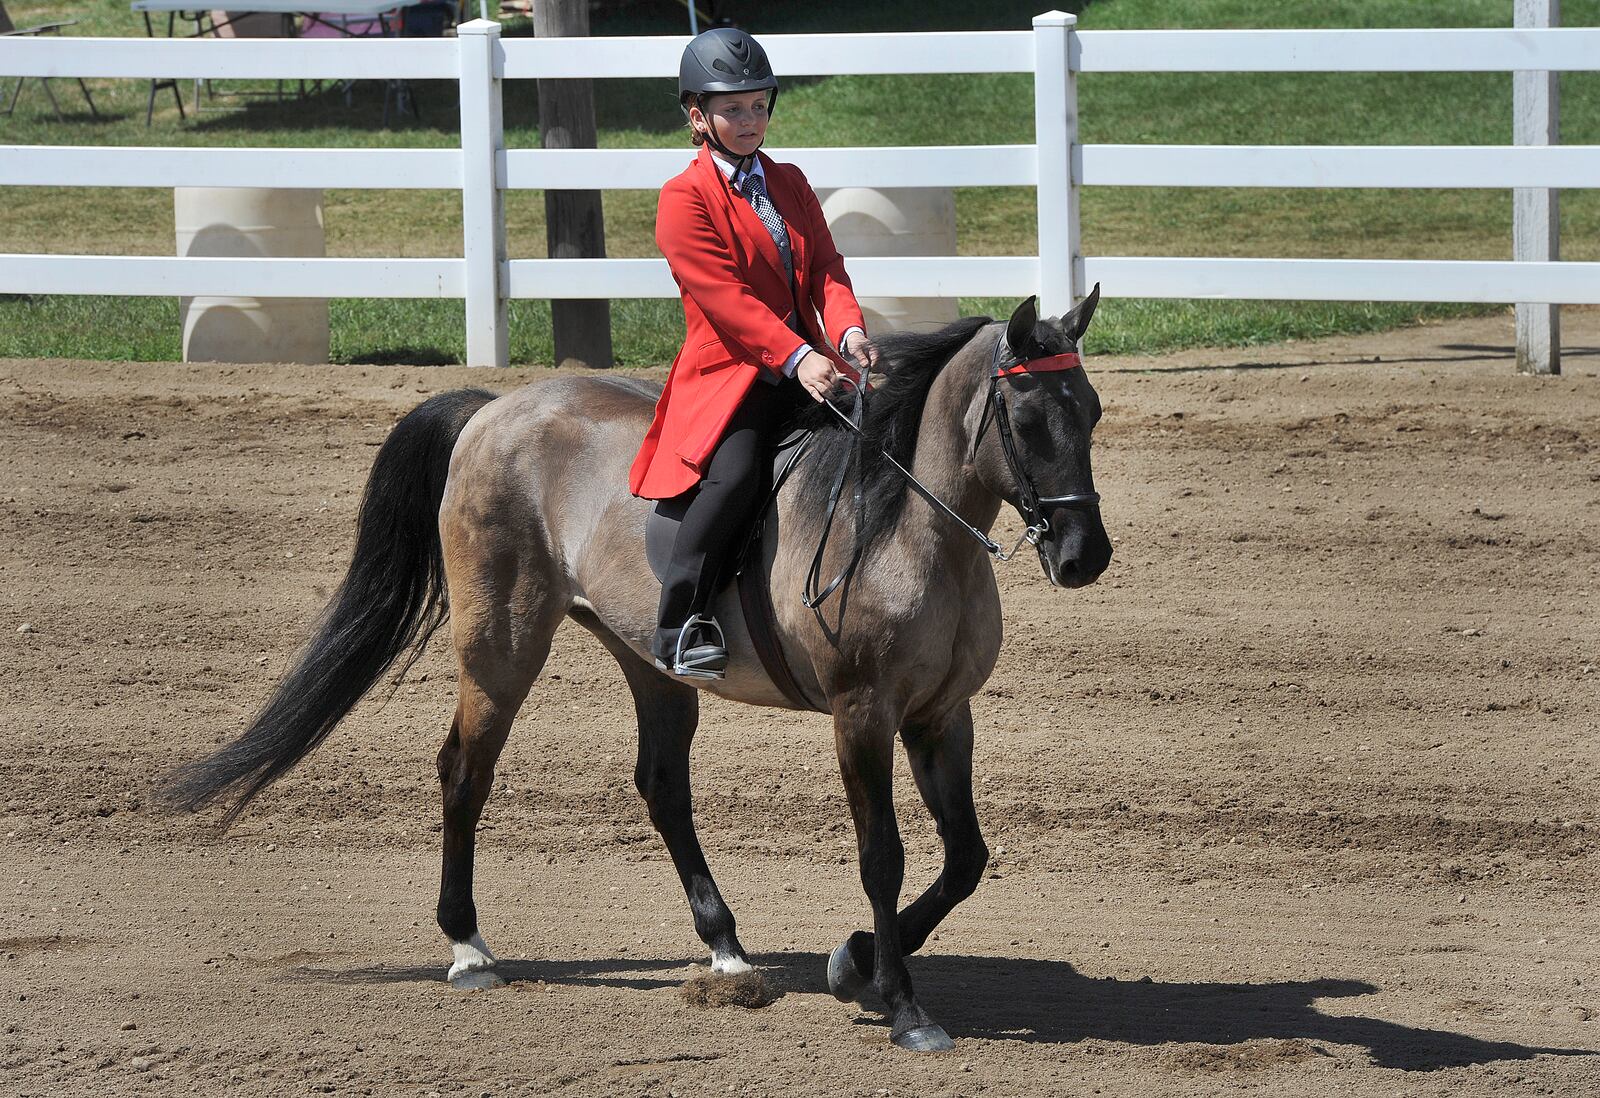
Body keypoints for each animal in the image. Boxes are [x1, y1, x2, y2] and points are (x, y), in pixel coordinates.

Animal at [165, 288, 1113, 1056]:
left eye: (1094, 412)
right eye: (1030, 421)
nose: (1085, 556)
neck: (912, 528)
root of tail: (493, 410)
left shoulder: (942, 715)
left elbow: (966, 857)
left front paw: (852, 960)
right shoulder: (863, 712)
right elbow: (883, 855)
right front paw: (900, 1005)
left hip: (648, 661)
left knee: (660, 783)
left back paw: (725, 949)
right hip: (501, 644)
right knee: (466, 770)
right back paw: (469, 948)